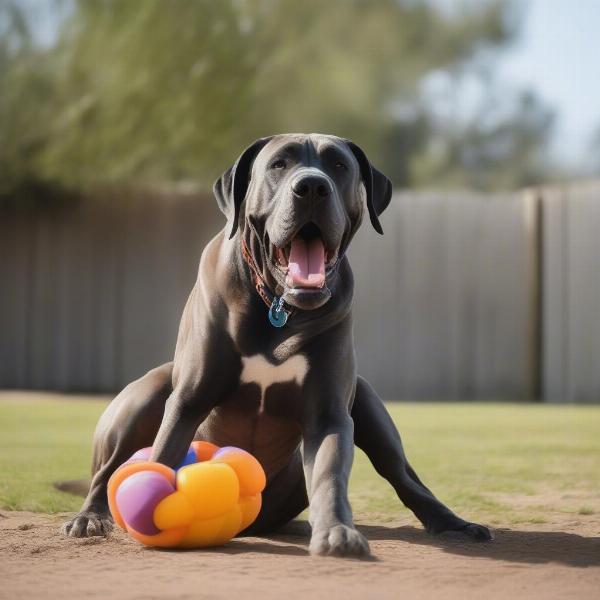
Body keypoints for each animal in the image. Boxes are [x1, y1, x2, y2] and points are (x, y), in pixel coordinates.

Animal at [62, 134, 492, 556]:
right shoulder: (189, 400)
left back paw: (453, 524)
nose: (312, 186)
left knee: (403, 474)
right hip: (148, 393)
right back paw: (90, 518)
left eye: (338, 165)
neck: (280, 306)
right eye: (278, 164)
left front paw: (337, 531)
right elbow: (166, 452)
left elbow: (329, 474)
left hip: (366, 401)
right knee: (106, 471)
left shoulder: (329, 413)